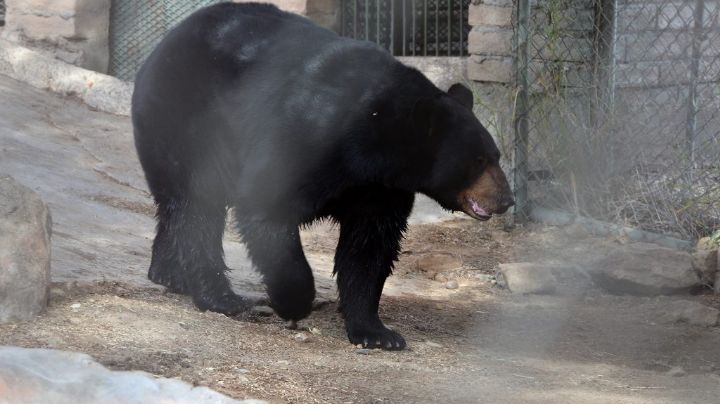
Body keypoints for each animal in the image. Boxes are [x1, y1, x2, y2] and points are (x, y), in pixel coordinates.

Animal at [132, 1, 516, 350]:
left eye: (496, 156)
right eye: (478, 160)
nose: (507, 199)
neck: (374, 139)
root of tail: (162, 44)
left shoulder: (380, 186)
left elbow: (369, 245)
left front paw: (377, 333)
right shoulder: (302, 138)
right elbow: (267, 209)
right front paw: (293, 302)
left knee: (179, 208)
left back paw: (169, 273)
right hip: (188, 121)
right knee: (198, 207)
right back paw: (223, 297)